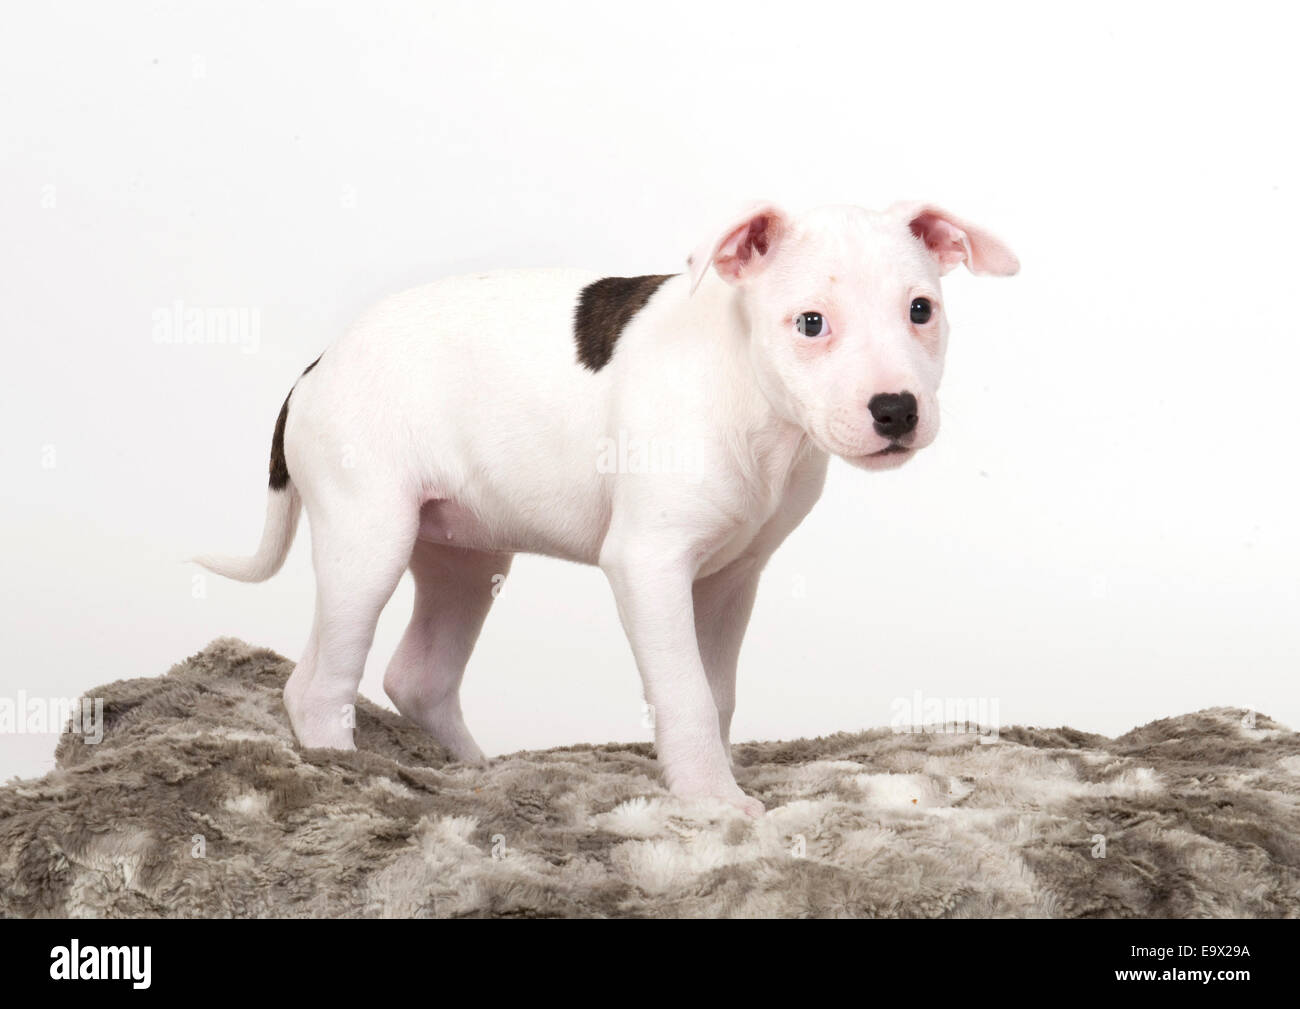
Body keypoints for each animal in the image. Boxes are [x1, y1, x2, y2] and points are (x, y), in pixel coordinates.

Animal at [197, 201, 1019, 816]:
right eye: (810, 323)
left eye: (922, 311)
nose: (895, 409)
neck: (748, 392)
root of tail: (316, 366)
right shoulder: (648, 566)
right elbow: (685, 692)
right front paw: (713, 802)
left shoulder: (732, 580)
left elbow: (717, 693)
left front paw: (713, 777)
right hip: (370, 539)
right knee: (322, 682)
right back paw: (345, 771)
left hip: (464, 555)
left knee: (412, 675)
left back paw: (475, 773)